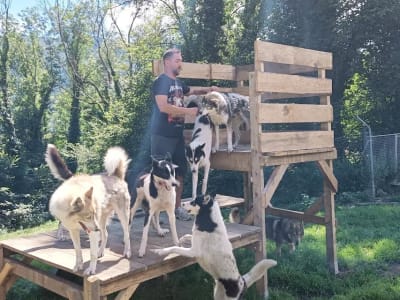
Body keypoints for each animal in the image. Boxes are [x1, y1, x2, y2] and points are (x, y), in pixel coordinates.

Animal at [46, 144, 131, 276]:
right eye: (87, 216)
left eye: (92, 214)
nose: (96, 229)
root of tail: (116, 175)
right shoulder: (74, 231)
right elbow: (78, 251)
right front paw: (78, 265)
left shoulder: (93, 233)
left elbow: (92, 254)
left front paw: (91, 270)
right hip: (102, 220)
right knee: (105, 234)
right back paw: (101, 251)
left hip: (122, 216)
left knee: (127, 234)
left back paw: (127, 252)